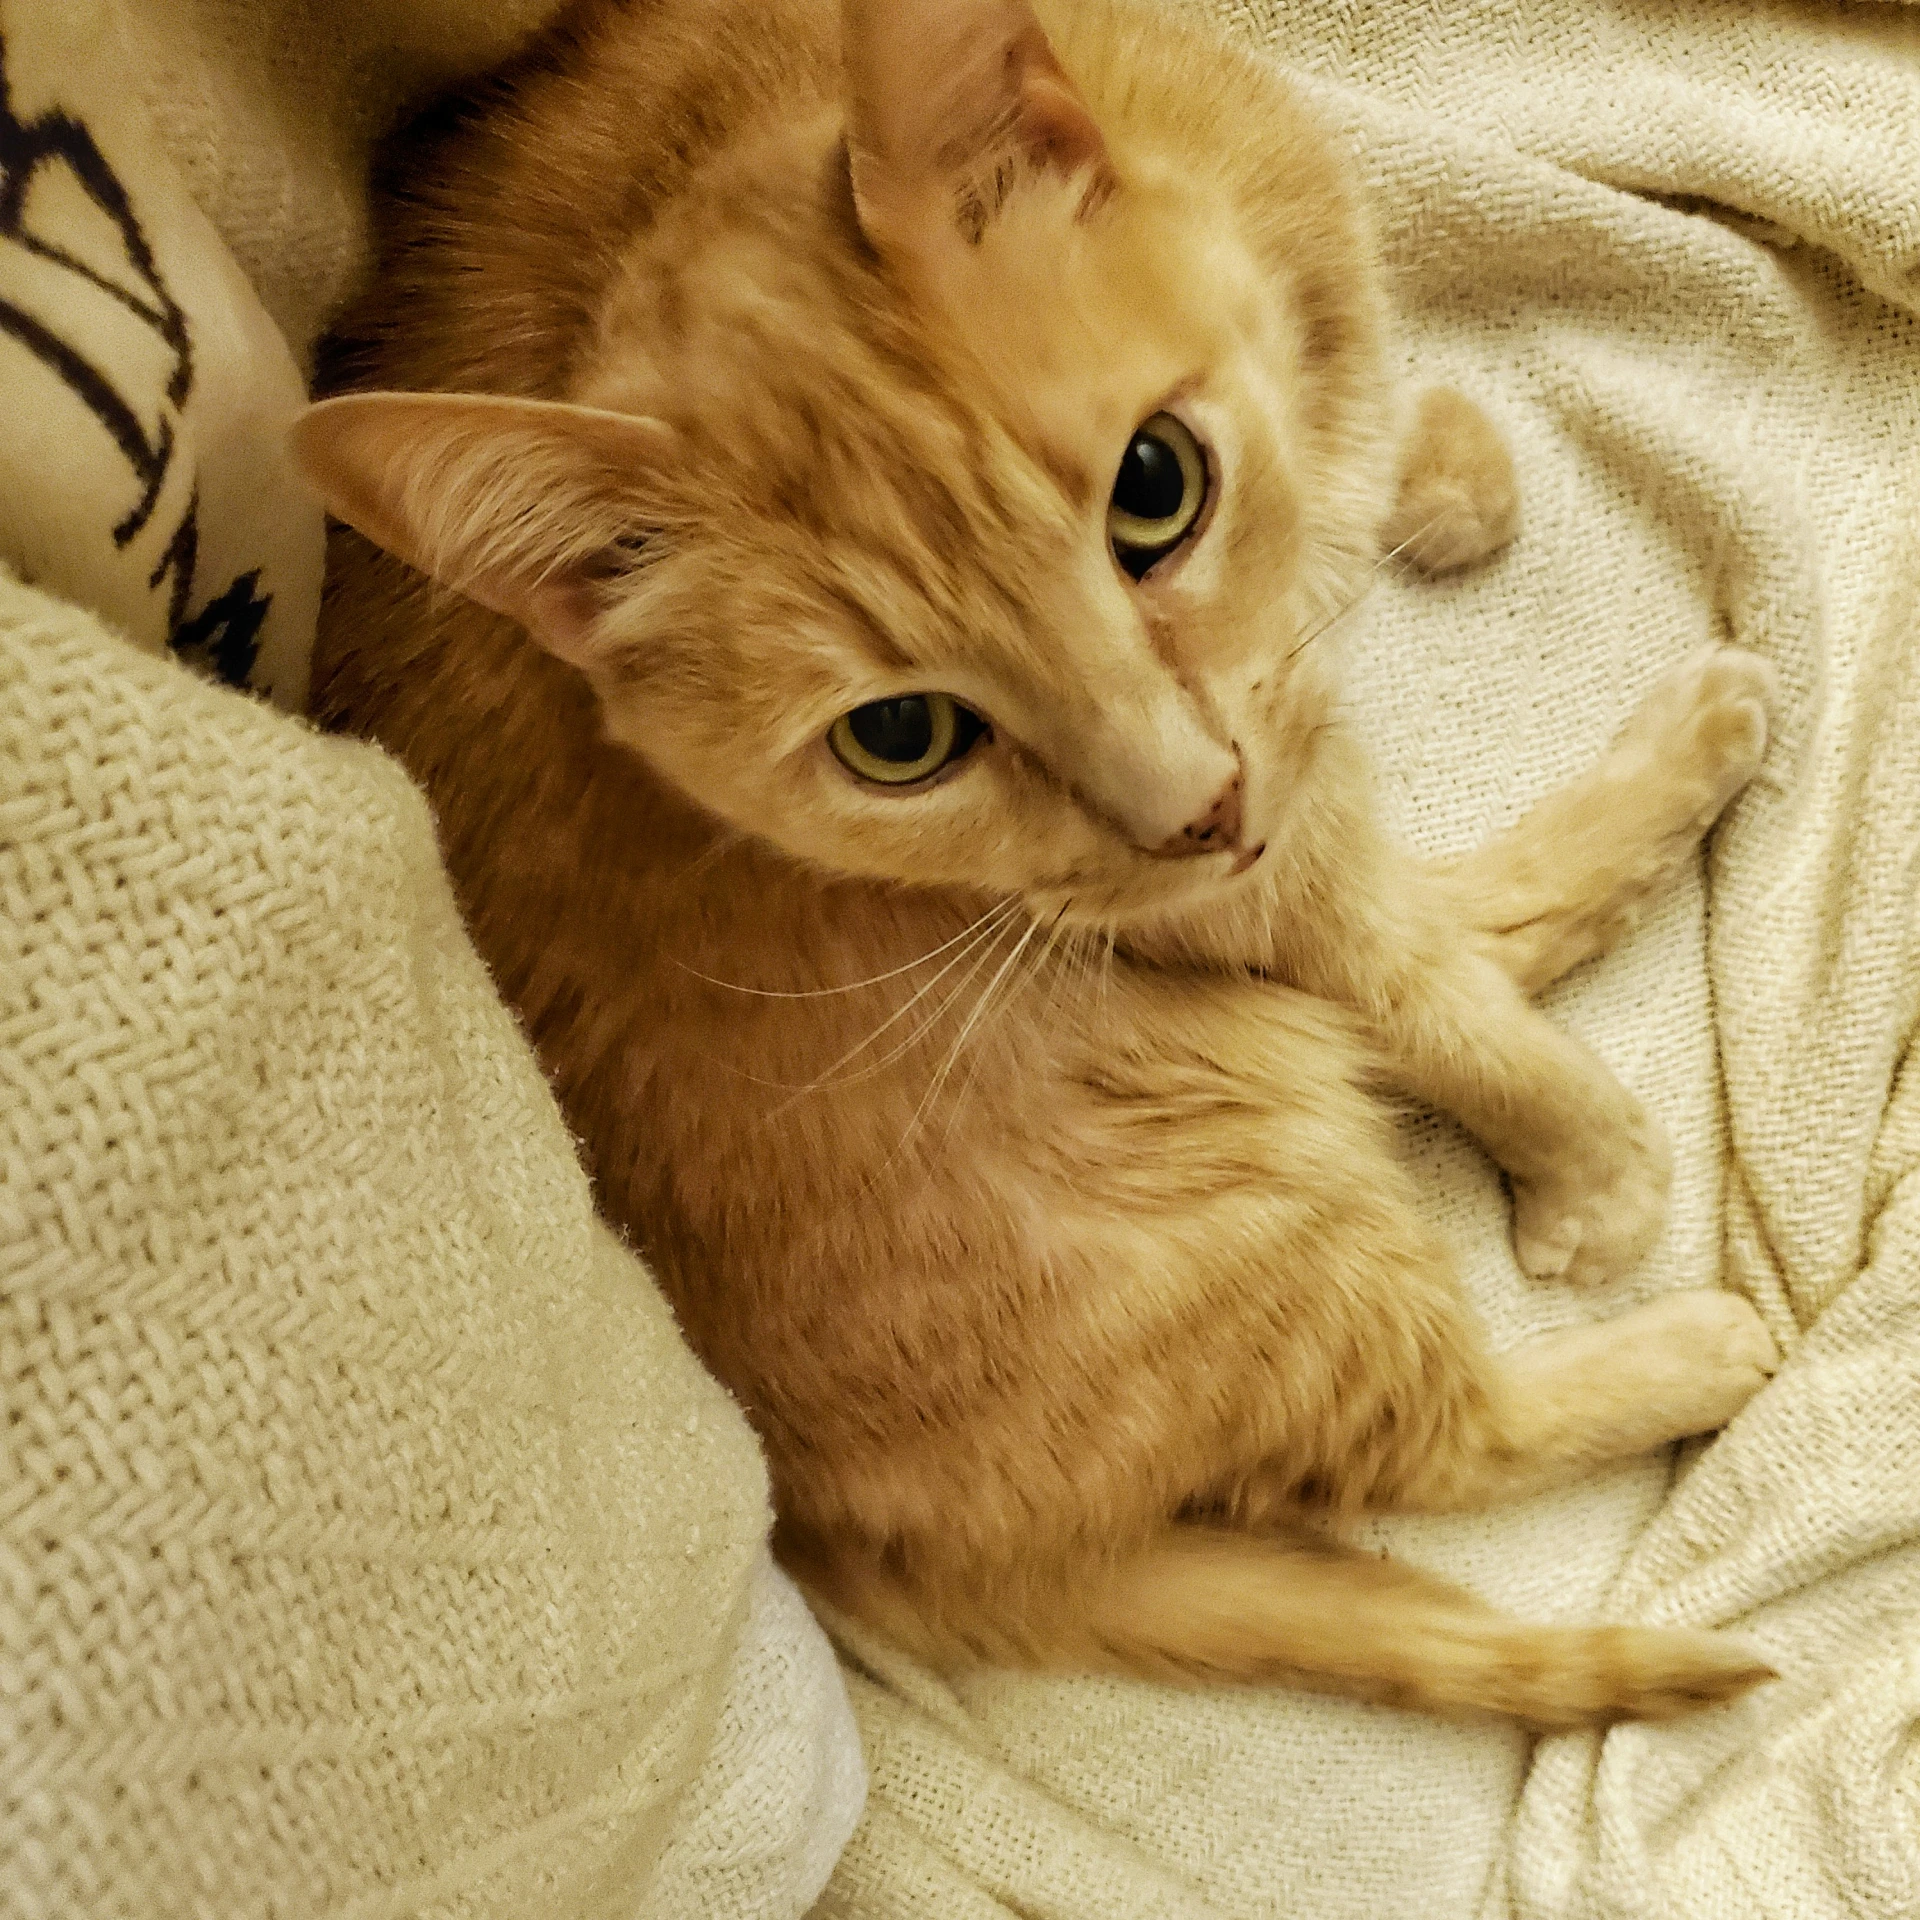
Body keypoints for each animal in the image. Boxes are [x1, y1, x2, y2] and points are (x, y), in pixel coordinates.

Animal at [295, 0, 1781, 1728]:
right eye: (900, 738)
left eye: (1156, 487)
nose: (1187, 806)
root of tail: (827, 1526)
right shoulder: (1241, 869)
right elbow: (1436, 1003)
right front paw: (1588, 1168)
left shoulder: (1266, 770)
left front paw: (1433, 465)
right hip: (1245, 1182)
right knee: (1434, 1424)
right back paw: (1688, 1341)